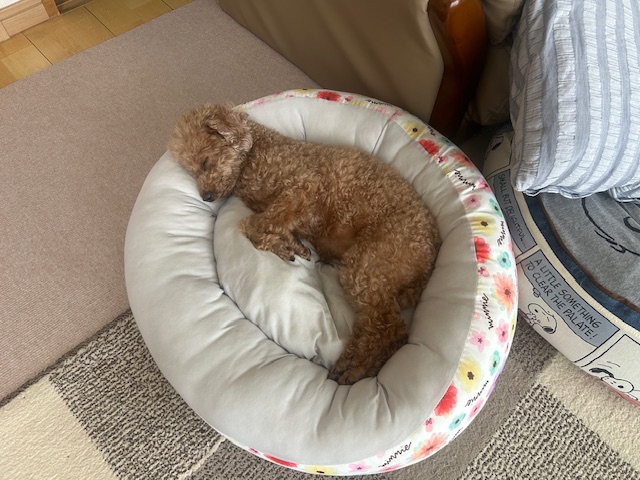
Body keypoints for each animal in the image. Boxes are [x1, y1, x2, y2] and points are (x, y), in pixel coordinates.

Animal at [168, 104, 441, 384]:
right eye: (190, 170)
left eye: (205, 161)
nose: (206, 197)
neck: (255, 157)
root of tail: (432, 248)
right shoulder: (281, 210)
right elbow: (259, 227)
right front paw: (289, 245)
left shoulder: (304, 189)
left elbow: (252, 224)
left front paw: (284, 244)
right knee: (376, 326)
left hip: (368, 264)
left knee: (391, 330)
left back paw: (355, 368)